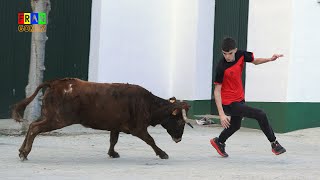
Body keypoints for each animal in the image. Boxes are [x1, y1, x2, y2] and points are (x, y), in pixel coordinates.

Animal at [11, 77, 192, 160]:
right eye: (179, 121)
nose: (179, 139)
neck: (147, 104)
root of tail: (55, 83)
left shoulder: (116, 126)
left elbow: (113, 140)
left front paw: (112, 153)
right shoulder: (138, 128)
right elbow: (151, 140)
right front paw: (162, 153)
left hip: (48, 116)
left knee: (32, 125)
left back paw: (21, 150)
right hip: (57, 119)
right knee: (35, 128)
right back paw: (25, 153)